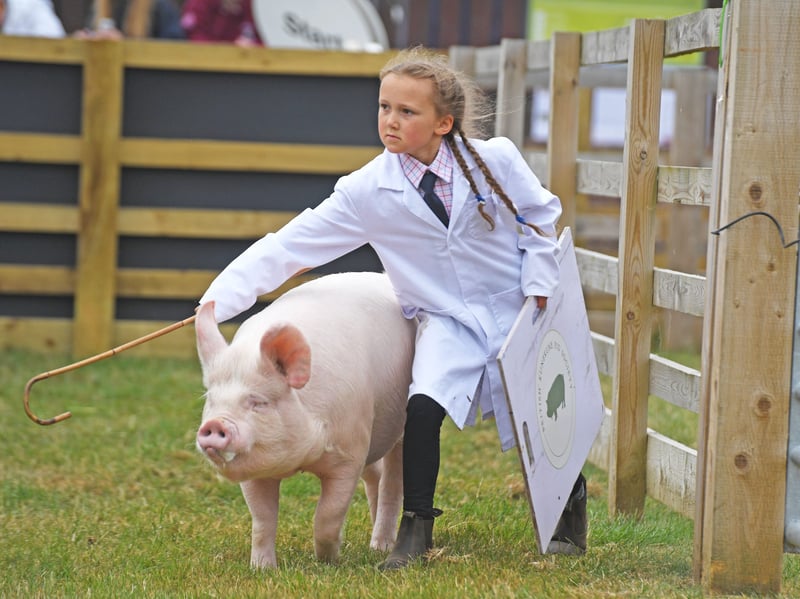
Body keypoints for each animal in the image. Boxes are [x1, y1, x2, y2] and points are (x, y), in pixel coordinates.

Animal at [194, 271, 416, 568]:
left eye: (258, 402)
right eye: (210, 397)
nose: (214, 424)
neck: (304, 458)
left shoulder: (349, 451)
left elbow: (327, 515)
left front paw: (328, 561)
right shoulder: (256, 473)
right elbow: (262, 520)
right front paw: (262, 569)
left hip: (398, 426)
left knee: (392, 484)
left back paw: (381, 548)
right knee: (375, 476)